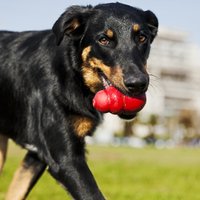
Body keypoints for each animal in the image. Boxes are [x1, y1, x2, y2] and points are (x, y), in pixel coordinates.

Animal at [0, 2, 158, 199]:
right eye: (104, 40)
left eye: (142, 38)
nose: (137, 84)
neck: (73, 72)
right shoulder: (65, 158)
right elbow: (92, 194)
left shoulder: (37, 155)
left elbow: (17, 190)